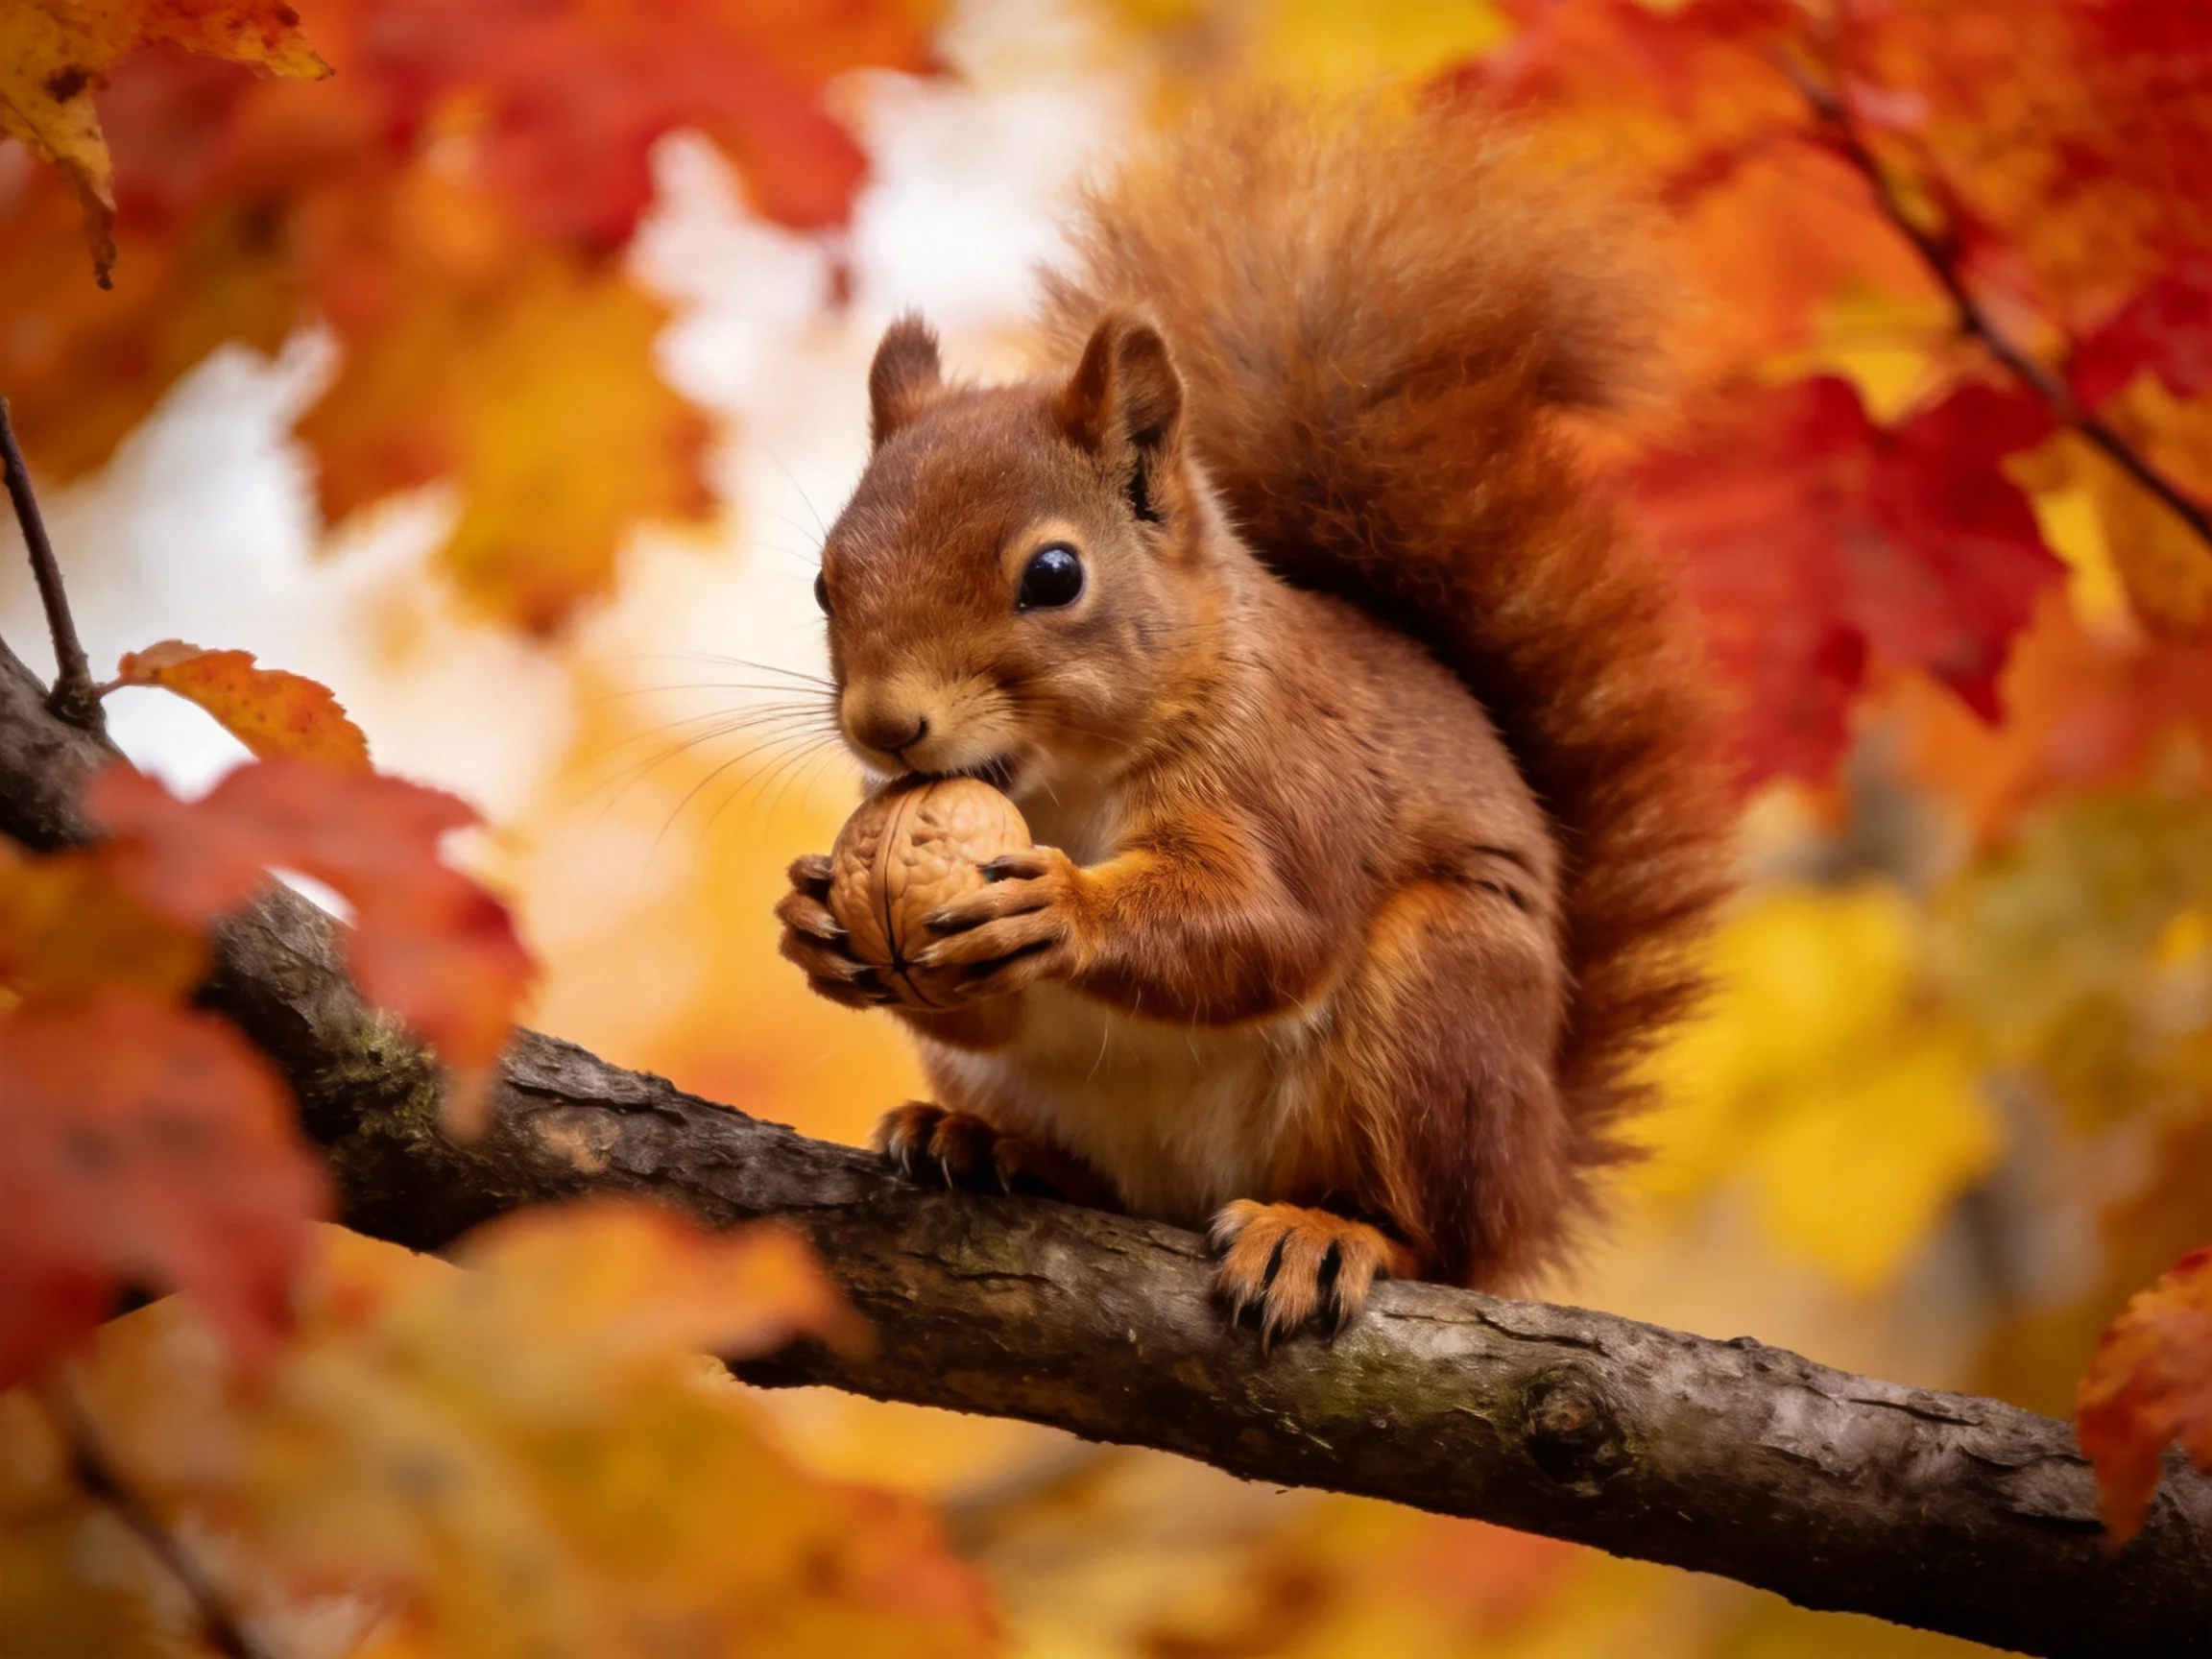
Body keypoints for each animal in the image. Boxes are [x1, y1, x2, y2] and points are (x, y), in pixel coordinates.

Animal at [776, 97, 1736, 1343]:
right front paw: (813, 921)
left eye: (1053, 574)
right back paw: (988, 1144)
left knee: (1434, 1237)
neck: (1060, 784)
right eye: (823, 583)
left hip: (1444, 1008)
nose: (886, 726)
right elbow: (968, 1001)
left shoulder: (1288, 777)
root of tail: (1536, 1176)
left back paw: (1328, 1233)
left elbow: (1266, 926)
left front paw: (1066, 908)